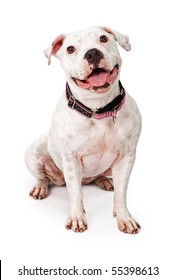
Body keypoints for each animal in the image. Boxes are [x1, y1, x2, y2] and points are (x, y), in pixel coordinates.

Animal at [25, 26, 142, 234]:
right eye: (70, 49)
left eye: (103, 38)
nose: (93, 53)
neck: (97, 110)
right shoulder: (71, 159)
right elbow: (75, 193)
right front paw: (77, 218)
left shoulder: (127, 156)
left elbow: (121, 194)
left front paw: (125, 218)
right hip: (33, 154)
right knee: (43, 177)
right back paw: (40, 187)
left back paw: (104, 180)